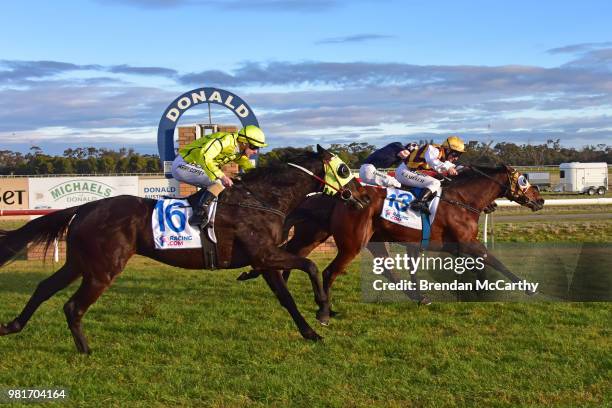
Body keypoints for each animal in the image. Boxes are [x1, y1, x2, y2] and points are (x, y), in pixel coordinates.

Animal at [0, 147, 364, 354]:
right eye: (344, 170)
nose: (361, 197)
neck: (261, 200)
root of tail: (85, 208)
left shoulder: (265, 259)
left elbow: (286, 297)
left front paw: (311, 332)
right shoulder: (265, 254)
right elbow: (310, 267)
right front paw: (323, 312)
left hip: (79, 262)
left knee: (44, 288)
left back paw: (11, 327)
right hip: (103, 269)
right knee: (72, 306)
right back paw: (86, 350)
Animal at [244, 164, 544, 324]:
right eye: (524, 180)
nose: (540, 200)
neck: (460, 200)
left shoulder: (446, 247)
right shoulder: (467, 243)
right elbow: (494, 260)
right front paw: (527, 287)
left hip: (344, 237)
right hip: (349, 242)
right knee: (327, 271)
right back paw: (324, 312)